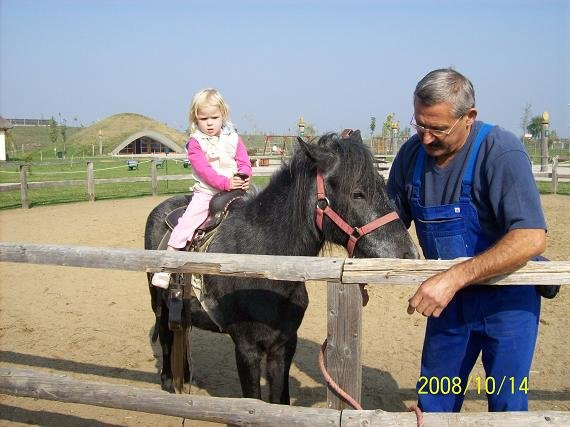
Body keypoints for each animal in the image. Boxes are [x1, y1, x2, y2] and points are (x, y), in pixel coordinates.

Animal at [144, 130, 418, 404]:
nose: (409, 254)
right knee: (167, 337)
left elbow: (281, 401)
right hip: (160, 305)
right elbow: (253, 400)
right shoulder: (247, 349)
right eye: (357, 193)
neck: (262, 265)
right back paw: (168, 380)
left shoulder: (284, 345)